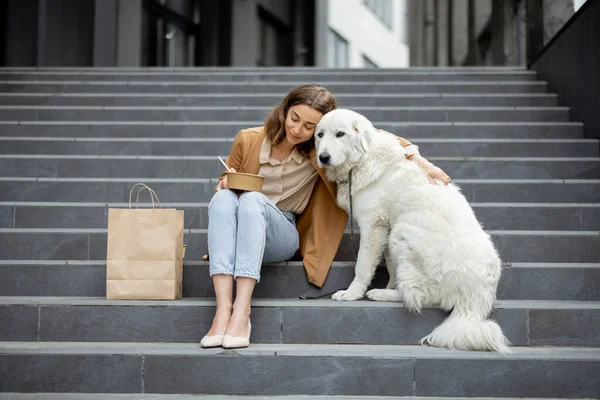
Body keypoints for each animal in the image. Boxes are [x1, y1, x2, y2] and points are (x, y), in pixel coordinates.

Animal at [316, 108, 508, 354]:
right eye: (320, 135)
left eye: (340, 134)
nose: (323, 157)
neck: (362, 160)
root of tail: (478, 297)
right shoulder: (385, 228)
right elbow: (390, 266)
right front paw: (388, 284)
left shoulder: (373, 225)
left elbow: (363, 266)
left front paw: (351, 294)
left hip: (403, 231)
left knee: (422, 296)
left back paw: (380, 294)